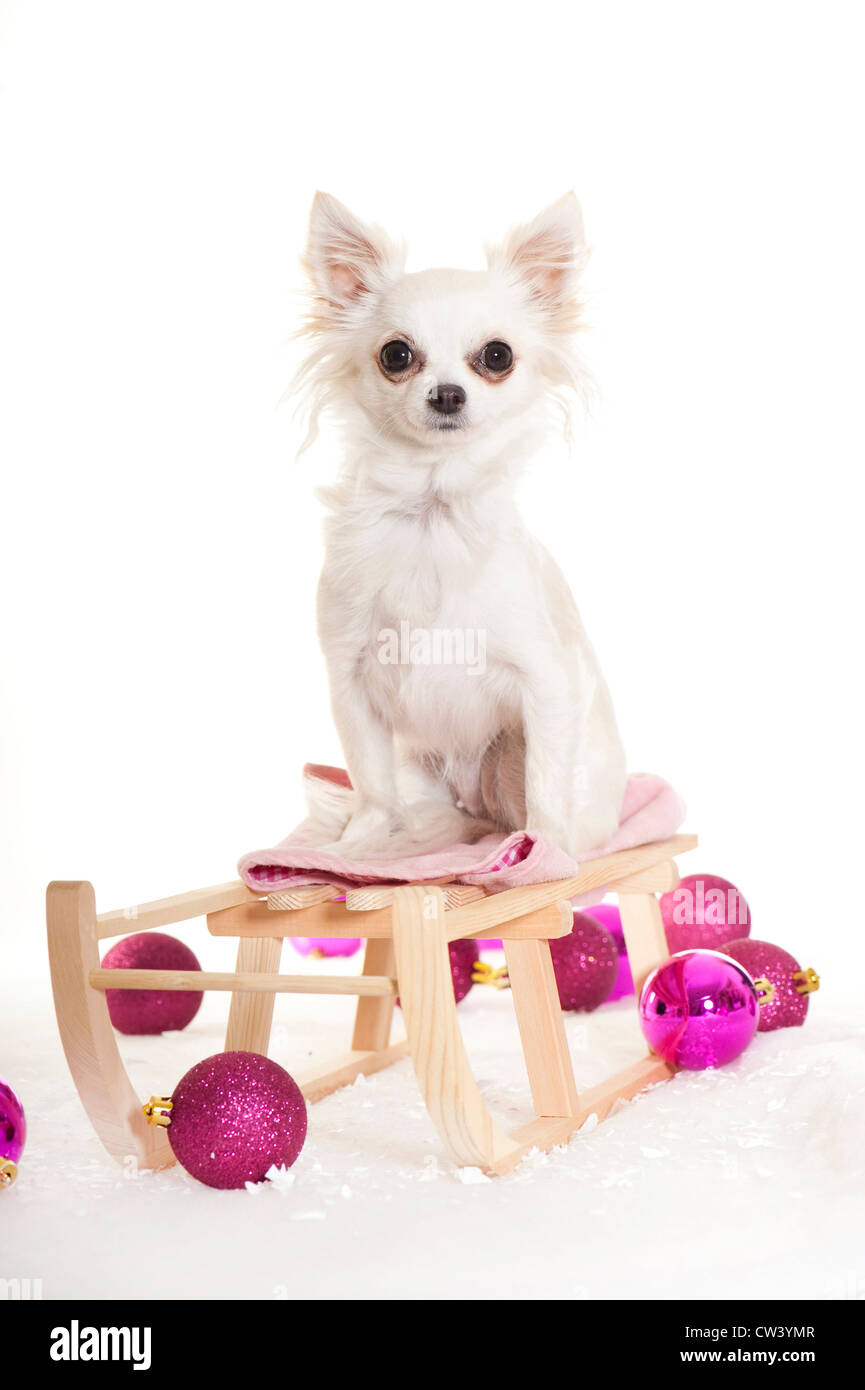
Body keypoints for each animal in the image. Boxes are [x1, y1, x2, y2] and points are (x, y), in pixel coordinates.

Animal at [297, 187, 623, 856]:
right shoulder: (352, 684)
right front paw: (358, 845)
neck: (433, 509)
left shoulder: (546, 683)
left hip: (514, 755)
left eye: (497, 356)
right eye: (397, 355)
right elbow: (370, 783)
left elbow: (546, 788)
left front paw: (546, 854)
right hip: (421, 771)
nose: (447, 393)